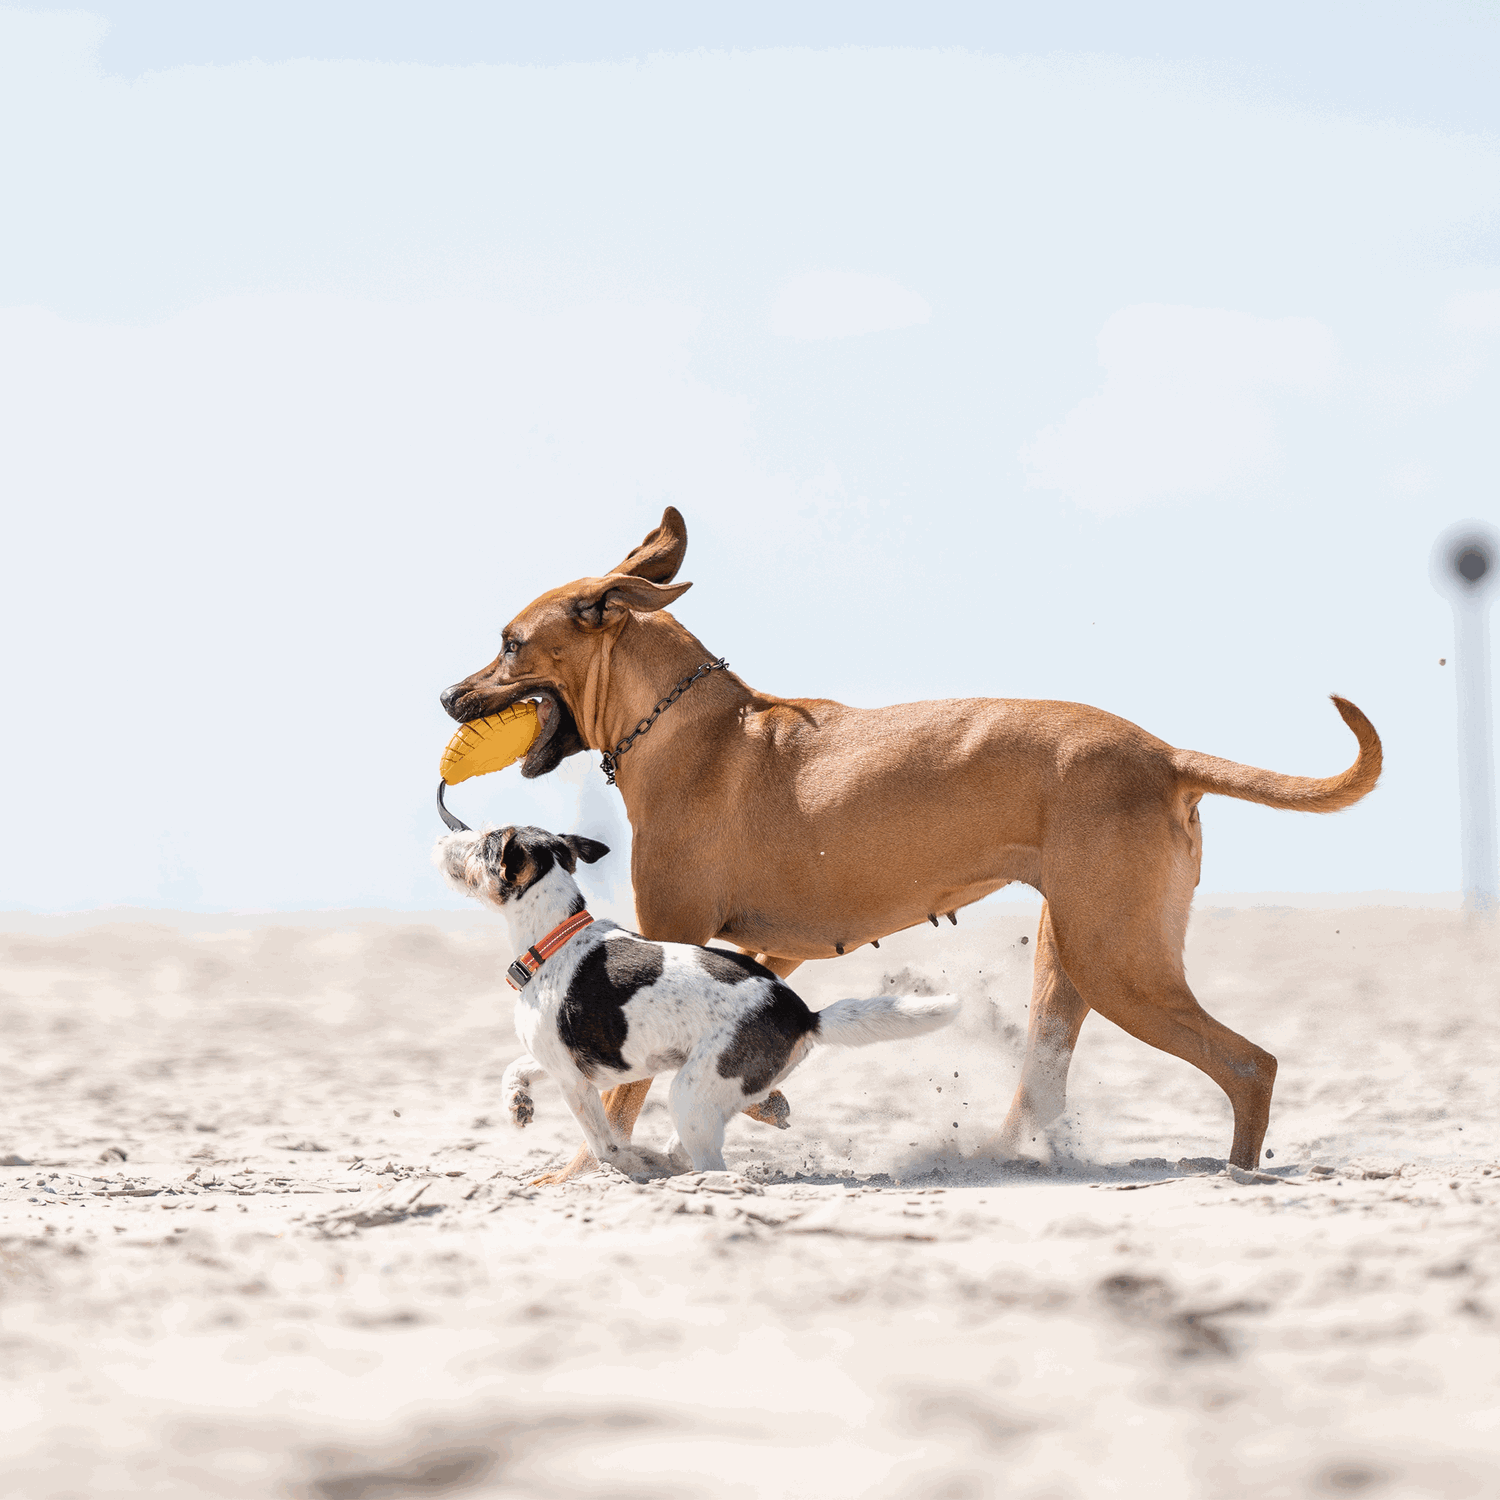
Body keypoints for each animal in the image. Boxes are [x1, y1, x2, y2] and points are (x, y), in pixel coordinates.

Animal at [432, 828, 960, 1176]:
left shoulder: (574, 1080)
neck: (553, 937)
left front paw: (627, 1164)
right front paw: (518, 1103)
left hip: (689, 1094)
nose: (441, 839)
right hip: (713, 1095)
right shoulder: (568, 1063)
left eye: (484, 843)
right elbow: (515, 1068)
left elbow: (603, 1143)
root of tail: (804, 1015)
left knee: (713, 1167)